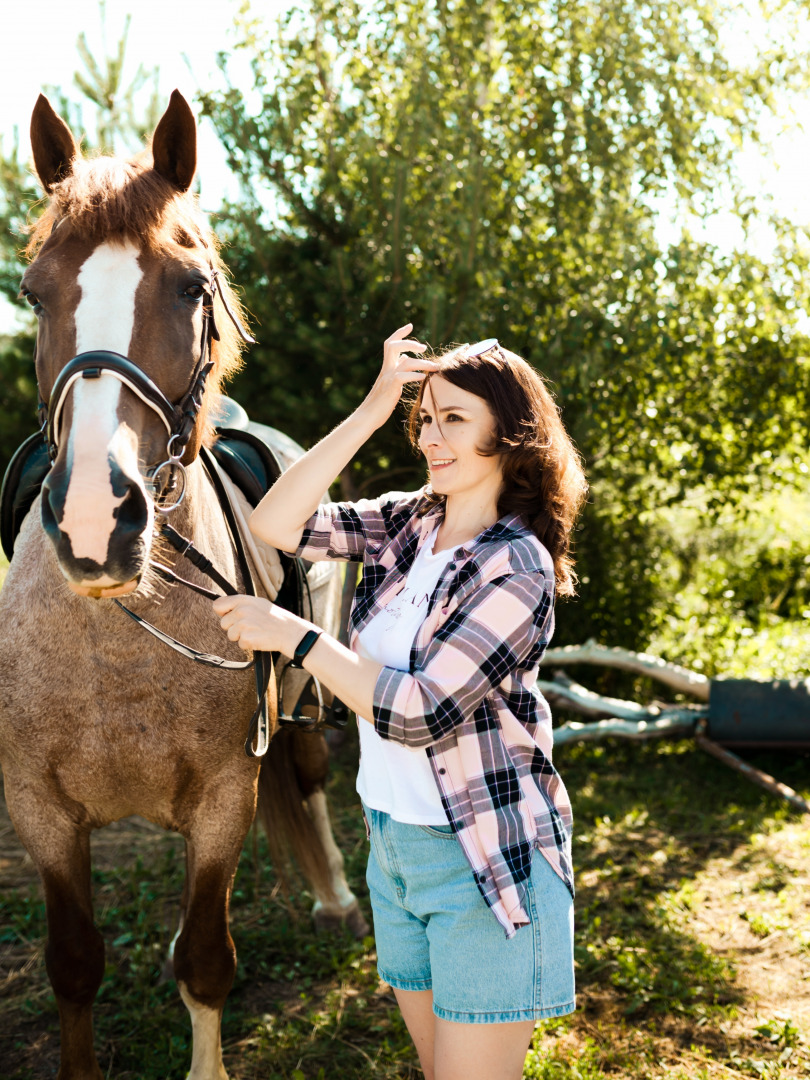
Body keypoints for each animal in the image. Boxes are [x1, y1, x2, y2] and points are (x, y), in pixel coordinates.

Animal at [0, 90, 365, 1080]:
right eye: (35, 292)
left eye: (192, 289)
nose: (96, 521)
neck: (115, 643)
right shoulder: (41, 812)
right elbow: (74, 964)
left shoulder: (223, 801)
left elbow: (204, 959)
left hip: (309, 700)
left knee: (310, 779)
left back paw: (334, 899)